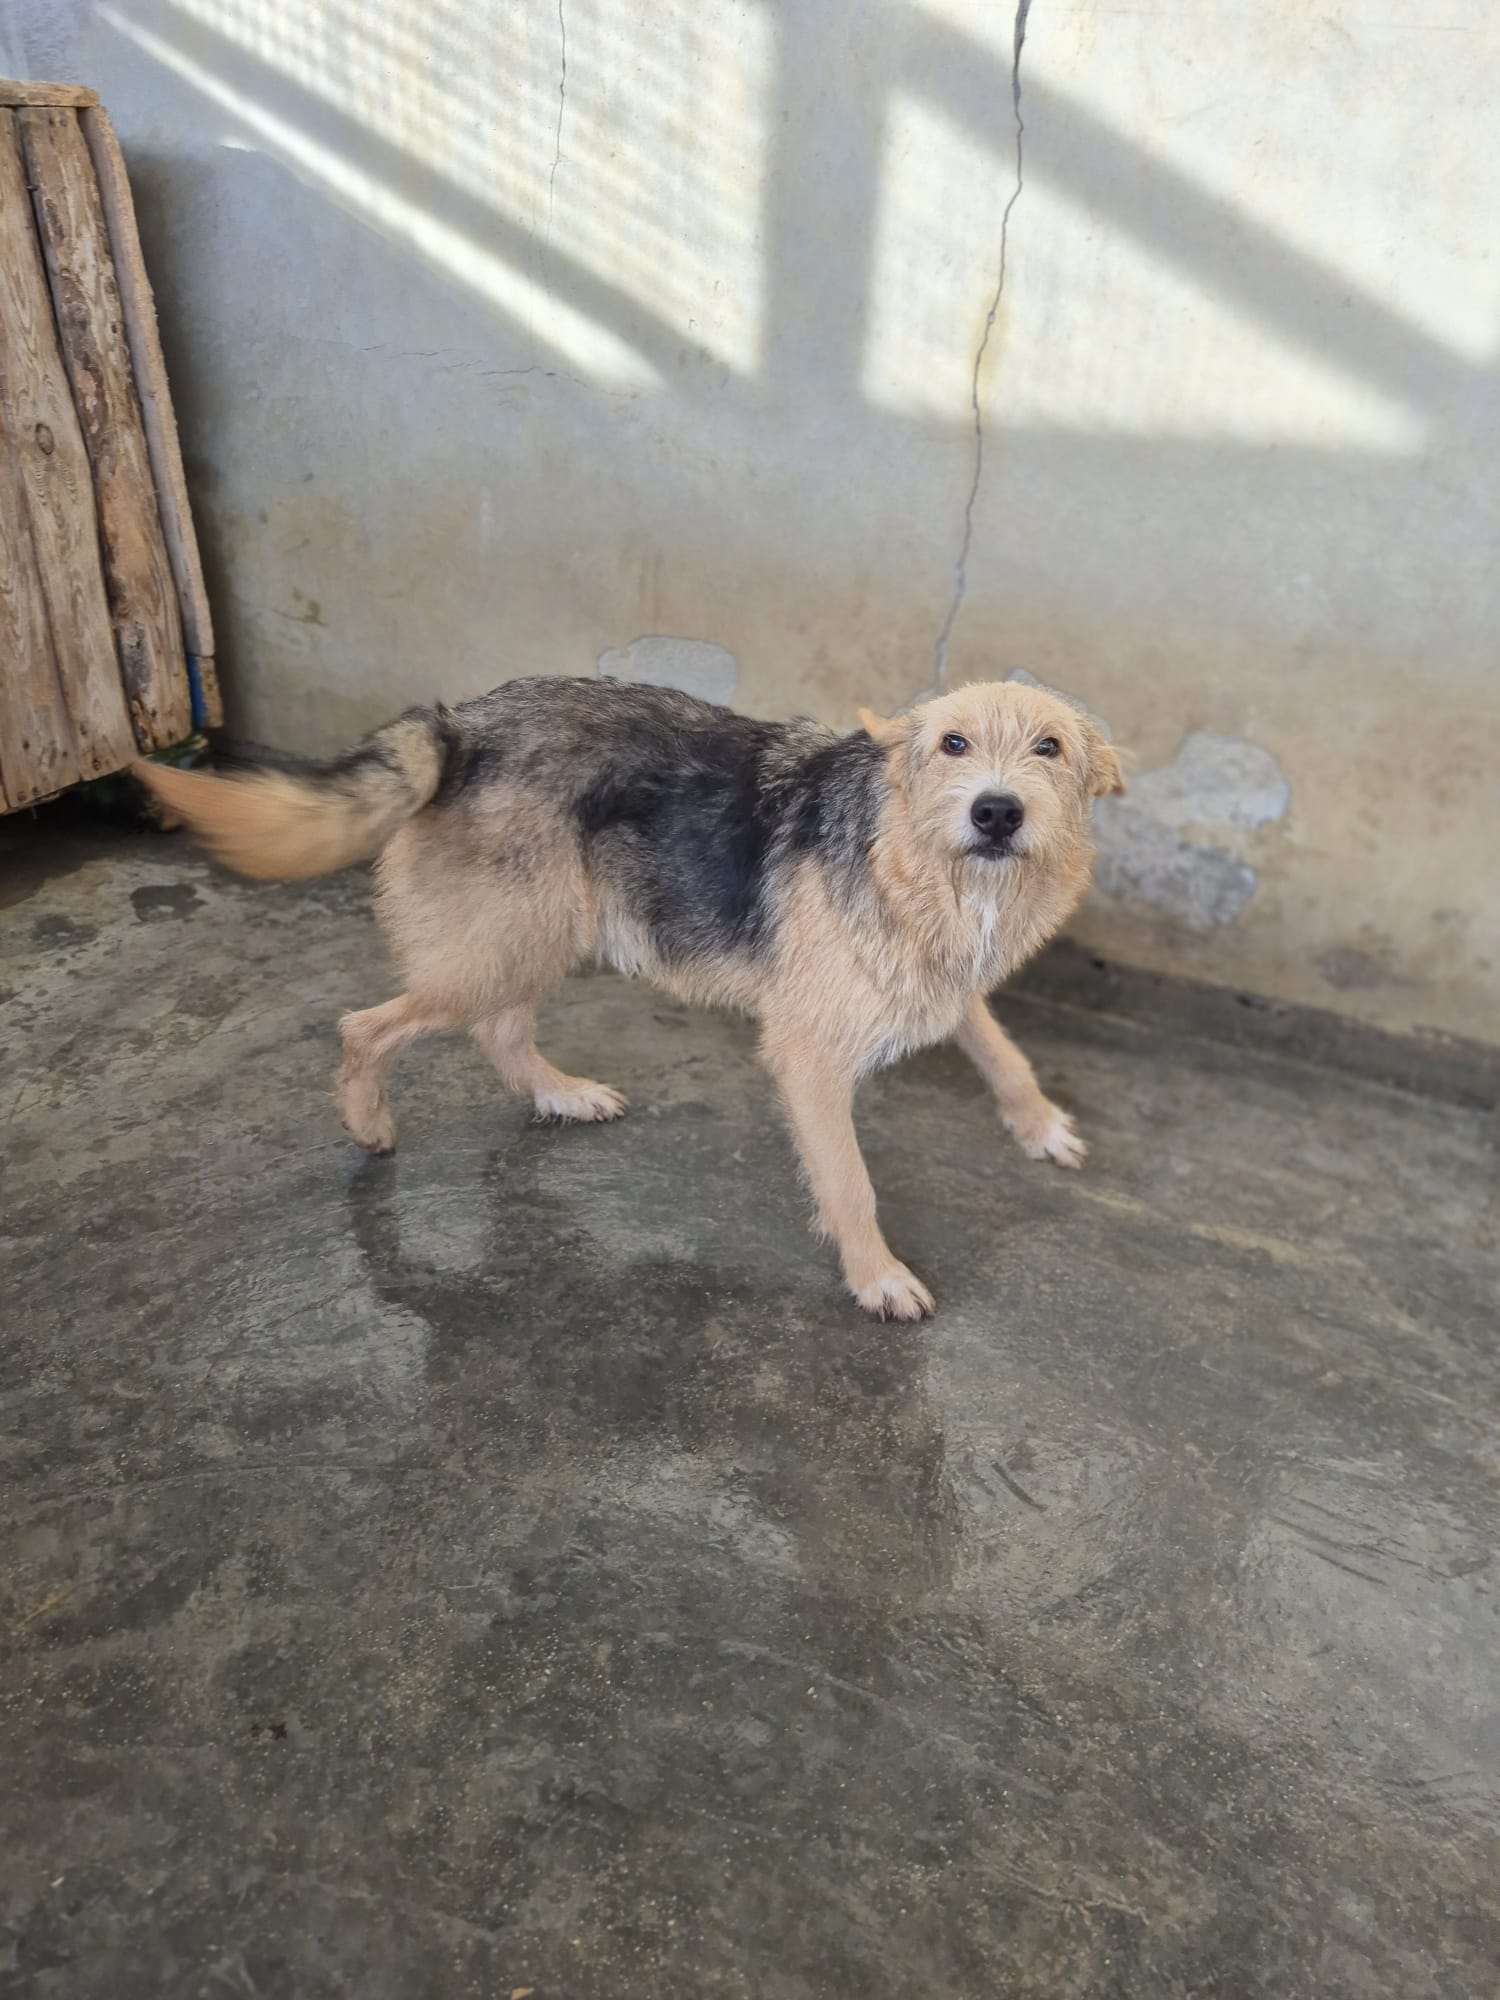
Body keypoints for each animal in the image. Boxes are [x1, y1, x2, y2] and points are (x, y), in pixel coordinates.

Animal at [137, 676, 1124, 1320]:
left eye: (1049, 748)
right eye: (953, 745)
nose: (997, 812)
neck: (908, 852)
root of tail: (464, 724)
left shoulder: (937, 982)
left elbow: (1001, 1048)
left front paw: (1040, 1124)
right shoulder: (808, 1055)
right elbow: (851, 1182)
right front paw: (876, 1276)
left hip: (538, 941)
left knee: (499, 1034)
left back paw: (559, 1095)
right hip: (505, 947)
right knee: (365, 1027)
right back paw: (370, 1123)